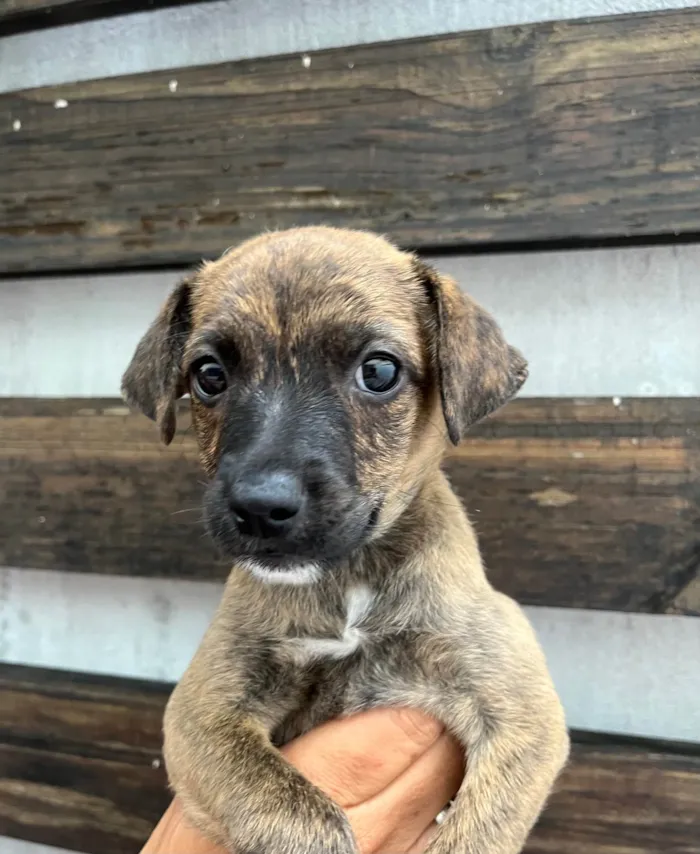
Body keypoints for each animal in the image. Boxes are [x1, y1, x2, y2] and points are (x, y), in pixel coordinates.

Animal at [121, 227, 568, 854]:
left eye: (378, 372)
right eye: (209, 376)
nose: (261, 507)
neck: (349, 581)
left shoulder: (520, 710)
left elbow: (476, 832)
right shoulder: (203, 711)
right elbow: (291, 810)